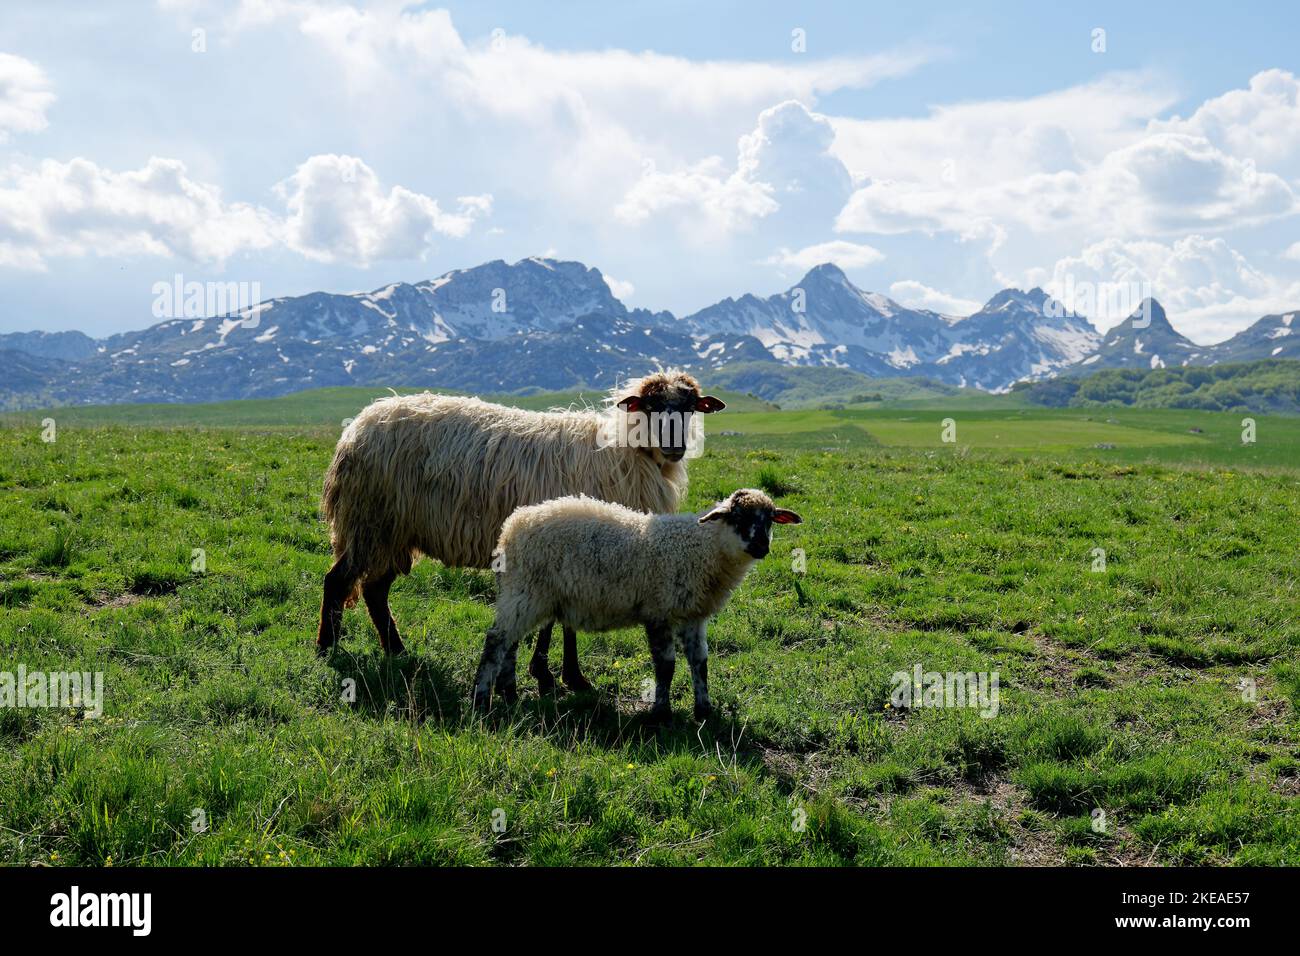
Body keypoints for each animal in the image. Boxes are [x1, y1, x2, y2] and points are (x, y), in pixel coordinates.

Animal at [316, 370, 726, 692]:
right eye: (651, 406)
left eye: (690, 407)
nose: (675, 448)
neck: (624, 456)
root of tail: (356, 428)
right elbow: (559, 620)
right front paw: (557, 675)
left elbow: (561, 620)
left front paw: (560, 675)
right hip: (371, 523)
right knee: (338, 581)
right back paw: (326, 649)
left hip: (393, 532)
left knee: (374, 590)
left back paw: (397, 652)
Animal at [471, 488, 802, 719]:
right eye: (738, 517)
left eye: (770, 519)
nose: (761, 546)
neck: (702, 548)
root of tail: (512, 526)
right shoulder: (659, 612)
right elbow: (666, 666)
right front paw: (661, 713)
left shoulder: (694, 615)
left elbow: (700, 662)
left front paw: (704, 710)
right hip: (526, 591)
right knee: (496, 641)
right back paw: (481, 699)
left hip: (525, 595)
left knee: (510, 644)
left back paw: (509, 693)